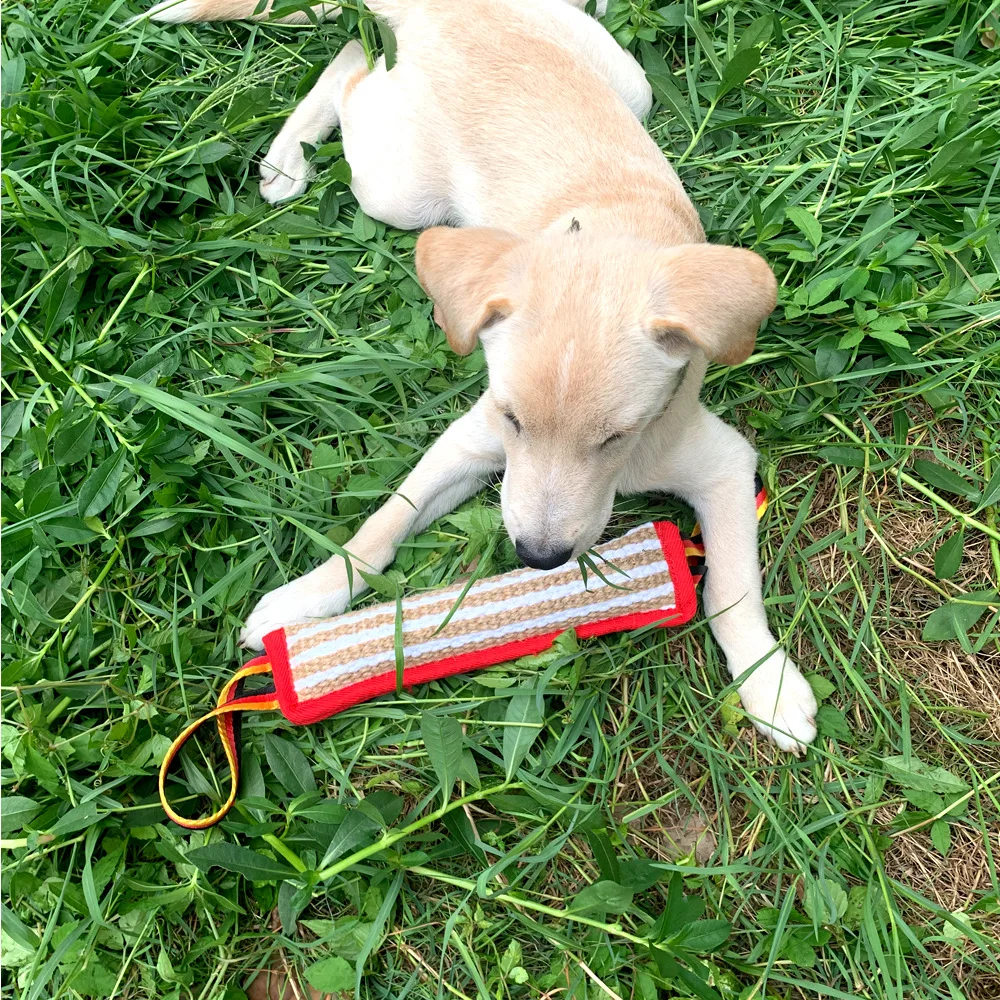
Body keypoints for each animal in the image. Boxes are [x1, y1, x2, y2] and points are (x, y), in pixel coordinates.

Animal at [148, 0, 820, 752]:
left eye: (616, 437)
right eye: (512, 416)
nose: (537, 558)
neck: (608, 243)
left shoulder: (724, 464)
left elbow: (732, 587)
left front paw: (767, 682)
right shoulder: (469, 440)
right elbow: (380, 527)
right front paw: (306, 599)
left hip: (628, 84)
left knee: (354, 53)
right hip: (398, 192)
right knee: (350, 65)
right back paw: (287, 158)